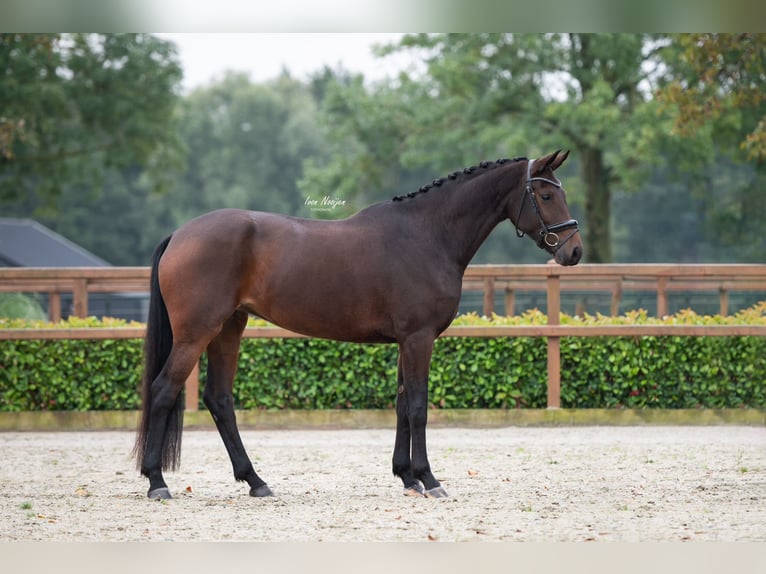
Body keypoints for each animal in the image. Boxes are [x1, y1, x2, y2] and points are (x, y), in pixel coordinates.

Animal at [135, 151, 584, 502]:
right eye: (546, 195)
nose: (575, 251)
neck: (427, 235)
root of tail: (180, 234)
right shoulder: (419, 339)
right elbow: (418, 407)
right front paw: (429, 479)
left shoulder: (406, 341)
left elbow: (402, 405)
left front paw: (406, 476)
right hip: (196, 334)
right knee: (163, 391)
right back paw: (158, 482)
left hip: (229, 328)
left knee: (220, 399)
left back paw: (256, 481)